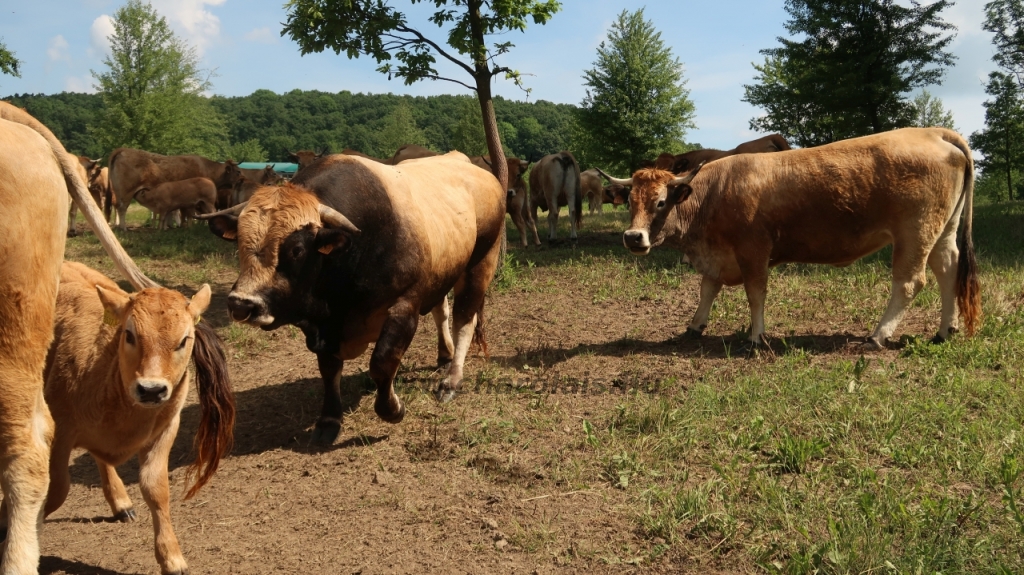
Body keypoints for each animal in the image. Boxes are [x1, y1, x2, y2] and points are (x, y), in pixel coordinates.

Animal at [37, 260, 234, 572]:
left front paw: (172, 558)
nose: (151, 389)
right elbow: (55, 489)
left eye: (183, 340)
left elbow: (156, 488)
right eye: (129, 334)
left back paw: (121, 503)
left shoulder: (166, 428)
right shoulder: (58, 431)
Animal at [108, 147, 241, 230]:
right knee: (122, 208)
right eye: (238, 172)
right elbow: (185, 213)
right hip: (126, 192)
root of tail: (124, 149)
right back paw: (123, 227)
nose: (242, 179)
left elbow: (177, 212)